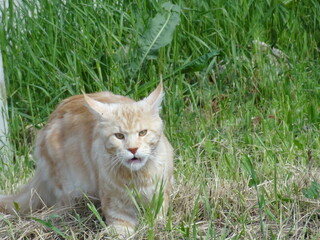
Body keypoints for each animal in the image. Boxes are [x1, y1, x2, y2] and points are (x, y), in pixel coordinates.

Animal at [0, 81, 172, 235]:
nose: (133, 149)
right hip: (68, 188)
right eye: (119, 136)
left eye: (143, 132)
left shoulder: (160, 196)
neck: (138, 178)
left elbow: (157, 220)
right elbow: (121, 231)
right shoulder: (117, 211)